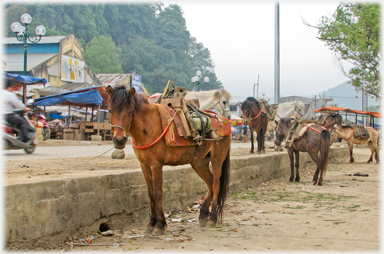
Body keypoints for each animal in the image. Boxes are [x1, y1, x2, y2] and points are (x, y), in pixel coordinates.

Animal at [106, 85, 231, 234]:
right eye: (110, 110)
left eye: (130, 111)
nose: (119, 140)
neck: (148, 125)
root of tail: (225, 121)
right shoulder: (144, 165)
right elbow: (150, 193)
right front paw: (151, 223)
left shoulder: (156, 165)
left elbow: (158, 192)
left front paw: (159, 224)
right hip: (199, 163)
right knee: (210, 183)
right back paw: (203, 214)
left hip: (217, 159)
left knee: (216, 185)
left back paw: (212, 218)